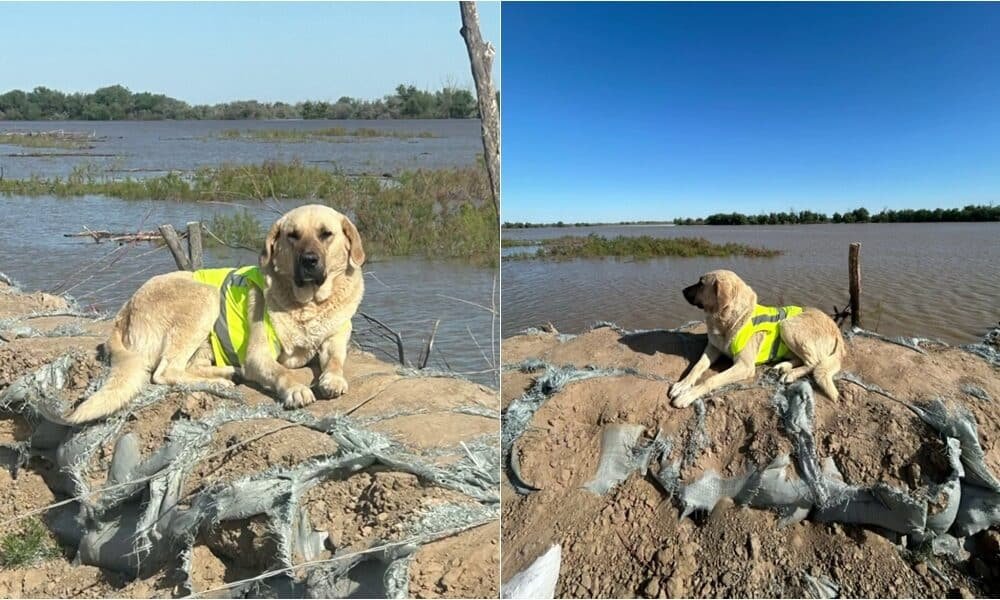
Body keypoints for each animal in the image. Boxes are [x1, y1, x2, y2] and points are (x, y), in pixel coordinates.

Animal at [64, 204, 366, 424]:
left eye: (326, 234)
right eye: (293, 235)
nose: (309, 261)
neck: (309, 304)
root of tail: (124, 311)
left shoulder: (335, 340)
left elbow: (336, 360)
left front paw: (333, 378)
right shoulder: (258, 356)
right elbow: (281, 371)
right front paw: (295, 388)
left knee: (186, 367)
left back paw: (228, 373)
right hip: (205, 297)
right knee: (166, 372)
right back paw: (221, 383)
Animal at [668, 270, 848, 408]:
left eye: (701, 284)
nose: (682, 291)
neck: (730, 320)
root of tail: (835, 328)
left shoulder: (744, 366)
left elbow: (710, 380)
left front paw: (687, 395)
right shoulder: (713, 348)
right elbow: (697, 367)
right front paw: (682, 385)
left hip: (787, 325)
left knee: (814, 362)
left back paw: (791, 374)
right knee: (801, 359)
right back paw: (782, 366)